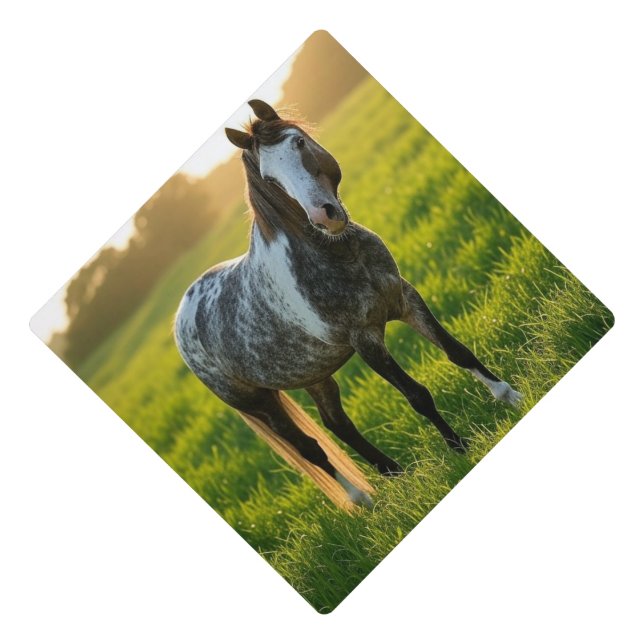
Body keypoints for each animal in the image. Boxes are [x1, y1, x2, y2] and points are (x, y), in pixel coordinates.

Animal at [174, 99, 522, 511]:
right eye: (270, 179)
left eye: (298, 142)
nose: (323, 215)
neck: (338, 255)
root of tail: (181, 319)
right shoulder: (365, 339)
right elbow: (417, 396)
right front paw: (460, 450)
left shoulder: (405, 298)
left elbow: (458, 352)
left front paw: (510, 397)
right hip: (258, 402)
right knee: (310, 448)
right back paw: (363, 500)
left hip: (313, 375)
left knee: (337, 424)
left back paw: (395, 475)